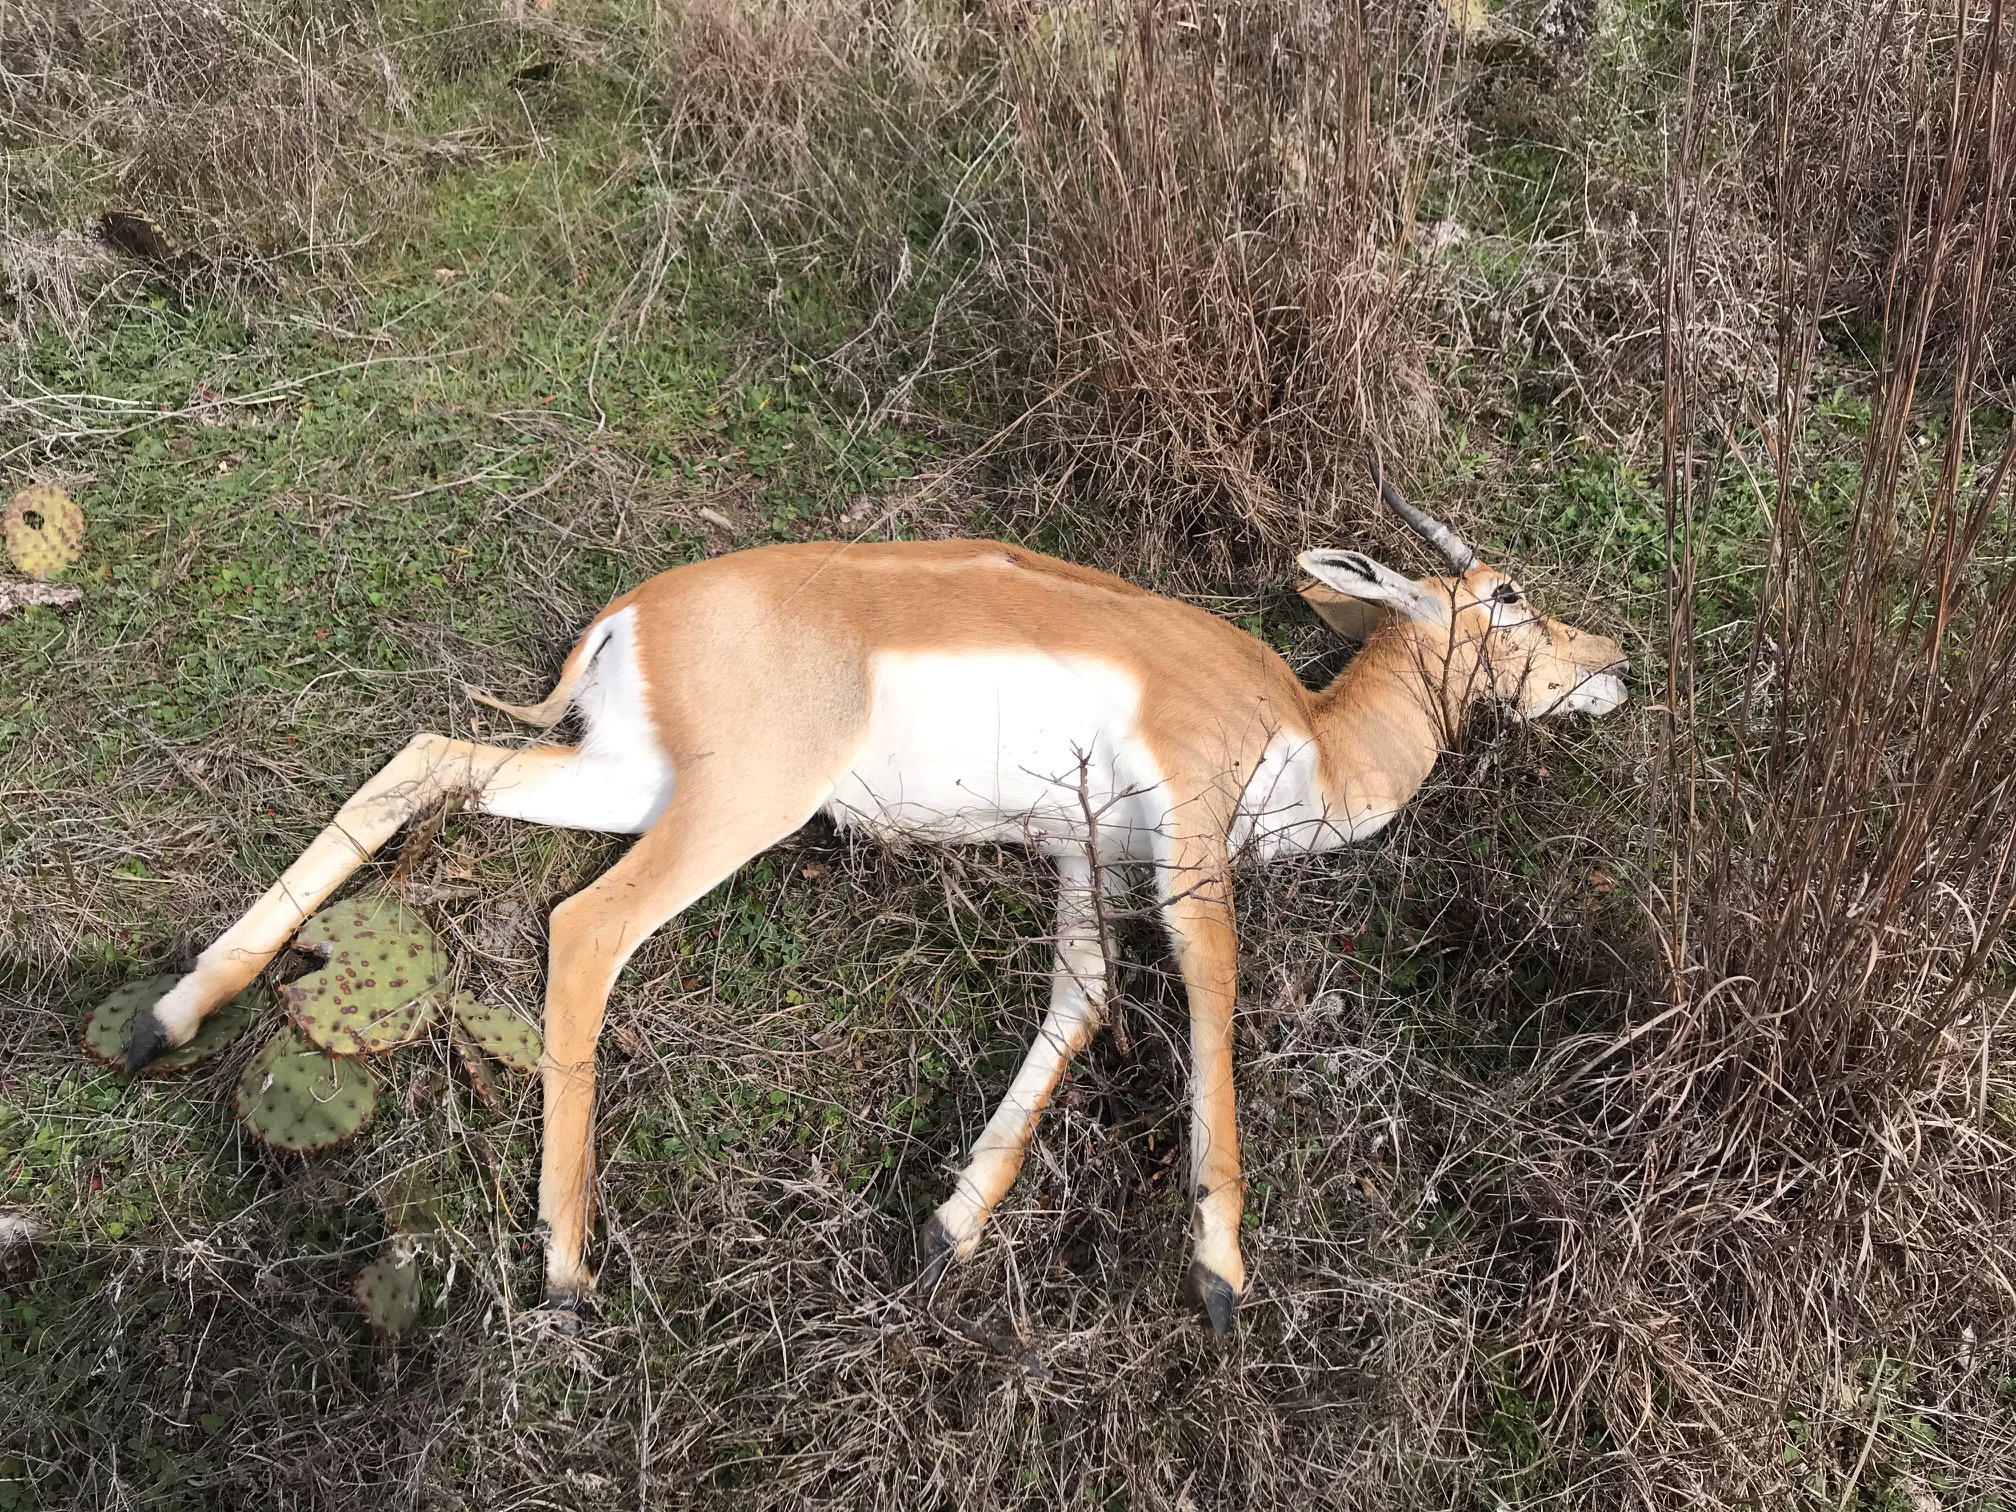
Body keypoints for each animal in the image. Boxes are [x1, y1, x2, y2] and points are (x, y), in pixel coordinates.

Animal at [122, 463, 1628, 1334]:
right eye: (1508, 591)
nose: (1616, 661)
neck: (1307, 729)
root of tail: (639, 607)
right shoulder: (1190, 842)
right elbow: (1211, 995)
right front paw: (1220, 1271)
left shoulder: (1081, 855)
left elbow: (1083, 1002)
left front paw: (951, 1228)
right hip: (741, 808)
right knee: (583, 928)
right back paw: (566, 1267)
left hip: (622, 780)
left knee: (429, 760)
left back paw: (163, 1018)